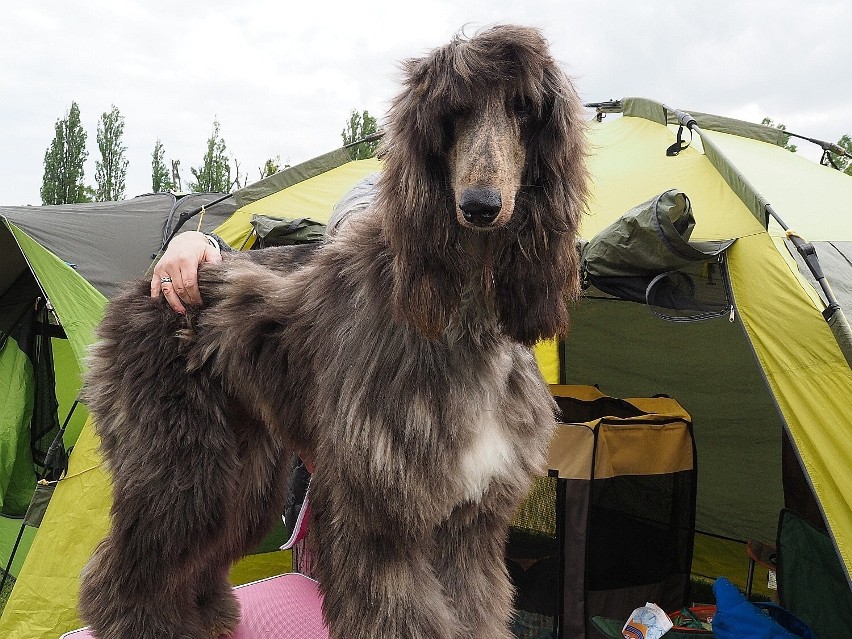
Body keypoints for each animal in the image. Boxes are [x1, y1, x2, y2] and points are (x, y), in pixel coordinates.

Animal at [80, 25, 584, 639]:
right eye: (454, 111)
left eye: (523, 109)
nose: (480, 206)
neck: (460, 319)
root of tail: (144, 286)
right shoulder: (384, 514)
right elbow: (398, 615)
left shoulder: (471, 519)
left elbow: (475, 606)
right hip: (179, 463)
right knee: (128, 562)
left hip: (242, 470)